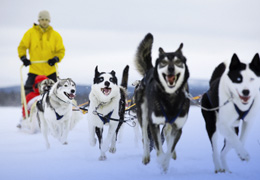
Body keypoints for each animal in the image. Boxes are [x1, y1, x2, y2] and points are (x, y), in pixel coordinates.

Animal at [134, 33, 191, 172]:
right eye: (164, 62)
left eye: (177, 61)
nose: (171, 68)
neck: (170, 97)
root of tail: (149, 71)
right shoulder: (154, 123)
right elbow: (158, 148)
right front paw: (161, 162)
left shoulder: (178, 126)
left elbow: (169, 149)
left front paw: (165, 164)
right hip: (143, 115)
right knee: (145, 136)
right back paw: (146, 157)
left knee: (166, 133)